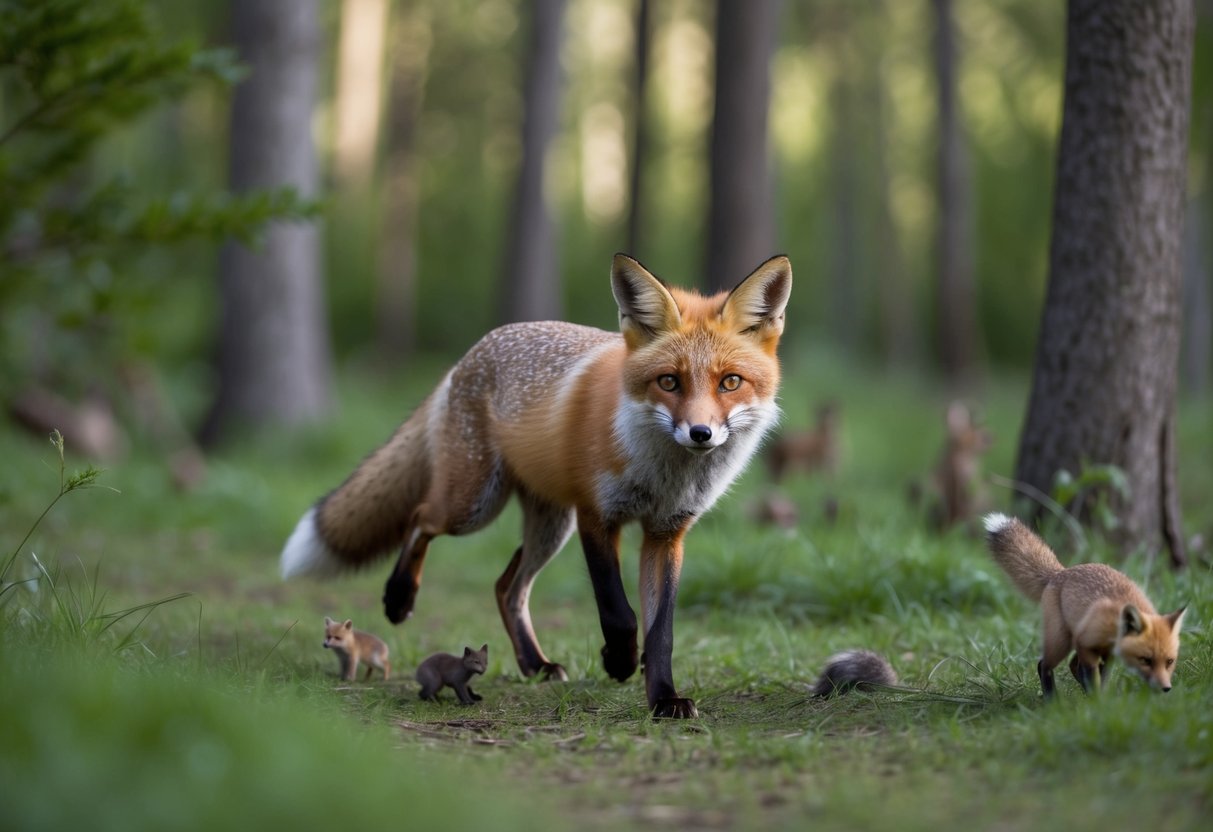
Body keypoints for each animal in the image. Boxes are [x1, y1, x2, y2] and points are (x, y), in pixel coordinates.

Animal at [281, 254, 793, 718]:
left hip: (549, 526)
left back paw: (535, 664)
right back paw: (399, 597)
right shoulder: (596, 515)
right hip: (474, 505)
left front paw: (664, 698)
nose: (700, 434)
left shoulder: (666, 533)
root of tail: (474, 351)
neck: (663, 474)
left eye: (730, 382)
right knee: (419, 519)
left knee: (507, 587)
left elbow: (660, 631)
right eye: (669, 382)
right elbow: (619, 613)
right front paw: (619, 662)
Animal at [983, 513, 1186, 697]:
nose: (1165, 688)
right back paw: (1052, 701)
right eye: (1146, 660)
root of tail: (1061, 572)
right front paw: (1094, 704)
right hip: (1060, 641)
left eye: (1170, 661)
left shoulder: (1107, 653)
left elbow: (1101, 678)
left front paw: (1099, 700)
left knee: (1072, 665)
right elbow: (1091, 676)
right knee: (1044, 665)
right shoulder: (1086, 644)